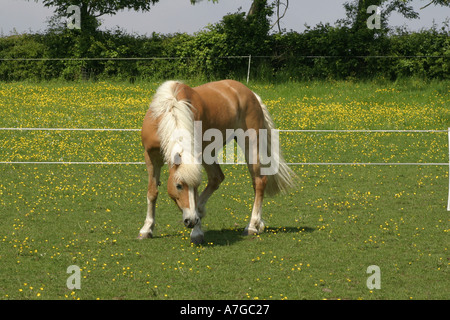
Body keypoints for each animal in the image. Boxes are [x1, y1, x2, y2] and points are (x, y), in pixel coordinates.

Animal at [139, 80, 298, 245]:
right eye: (178, 186)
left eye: (196, 186)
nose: (191, 221)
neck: (171, 110)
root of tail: (251, 94)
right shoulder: (151, 157)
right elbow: (152, 192)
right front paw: (146, 229)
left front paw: (197, 232)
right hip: (209, 153)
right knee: (217, 178)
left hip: (250, 144)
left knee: (259, 181)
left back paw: (252, 226)